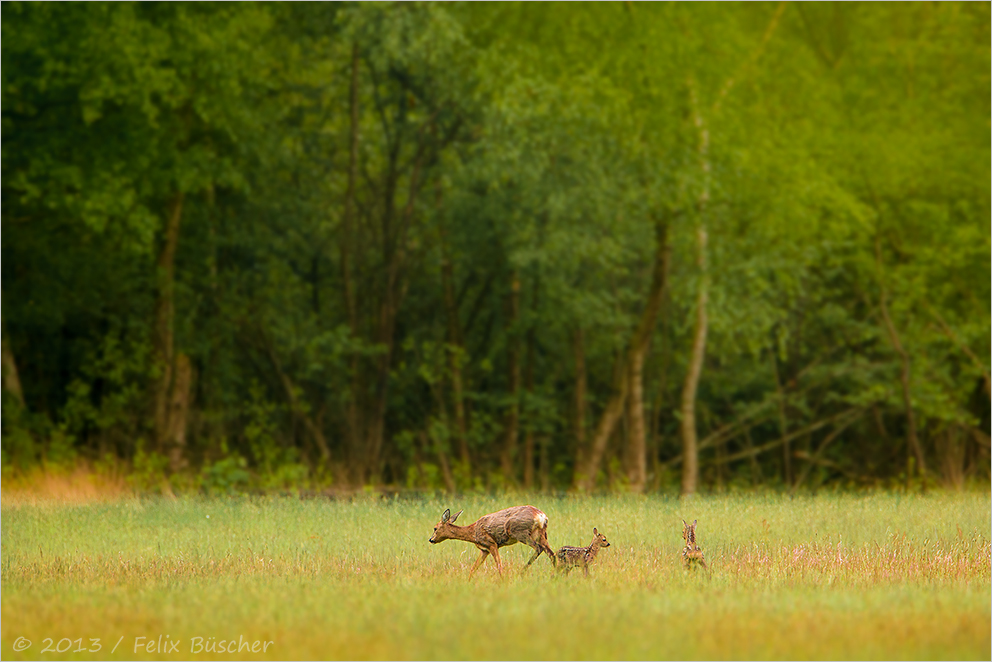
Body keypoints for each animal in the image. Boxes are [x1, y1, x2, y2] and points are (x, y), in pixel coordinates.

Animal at [428, 506, 560, 580]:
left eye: (435, 528)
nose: (431, 539)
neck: (473, 533)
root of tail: (541, 516)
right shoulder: (484, 550)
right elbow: (473, 568)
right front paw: (468, 581)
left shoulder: (491, 543)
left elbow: (499, 566)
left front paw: (502, 580)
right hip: (541, 534)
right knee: (552, 554)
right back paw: (556, 573)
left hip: (520, 532)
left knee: (539, 548)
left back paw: (521, 572)